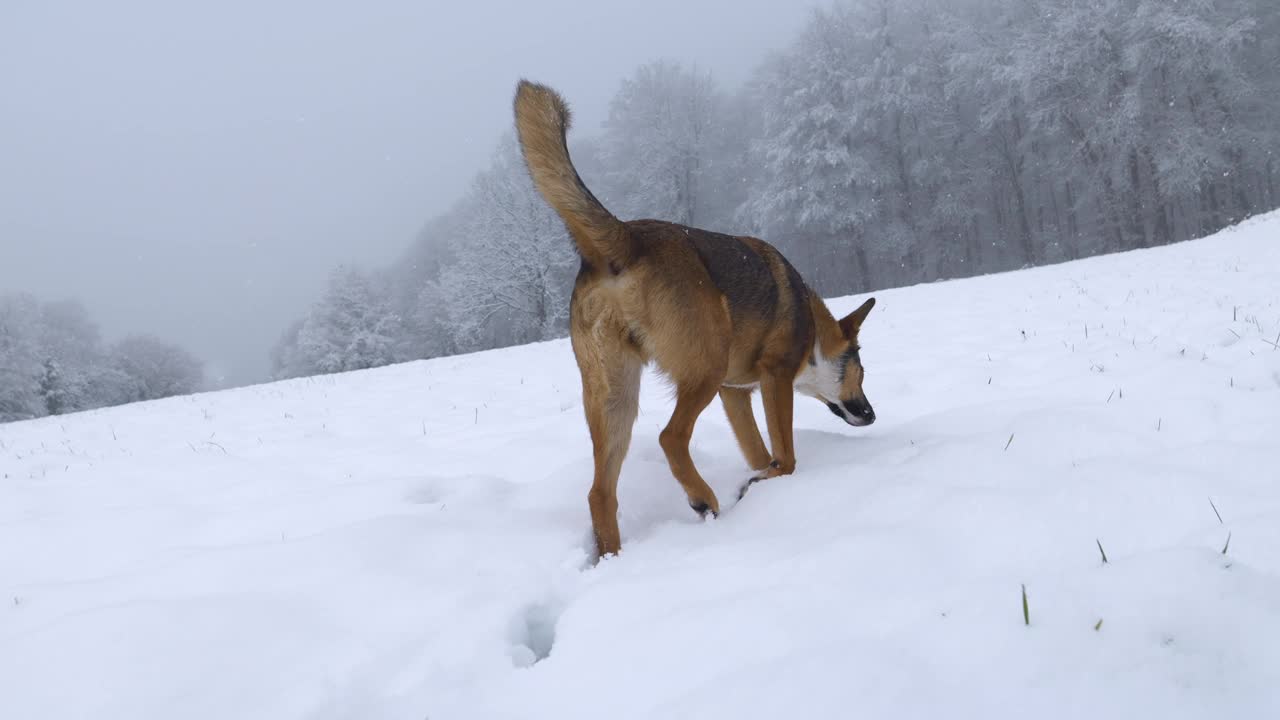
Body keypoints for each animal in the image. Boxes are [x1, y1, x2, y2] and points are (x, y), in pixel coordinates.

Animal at [514, 79, 875, 556]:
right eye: (862, 372)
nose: (871, 415)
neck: (812, 324)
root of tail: (625, 240)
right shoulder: (772, 377)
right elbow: (786, 455)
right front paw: (762, 482)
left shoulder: (735, 392)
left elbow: (759, 451)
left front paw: (758, 480)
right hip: (704, 368)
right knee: (670, 437)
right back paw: (703, 498)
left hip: (615, 395)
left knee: (599, 492)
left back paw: (613, 556)